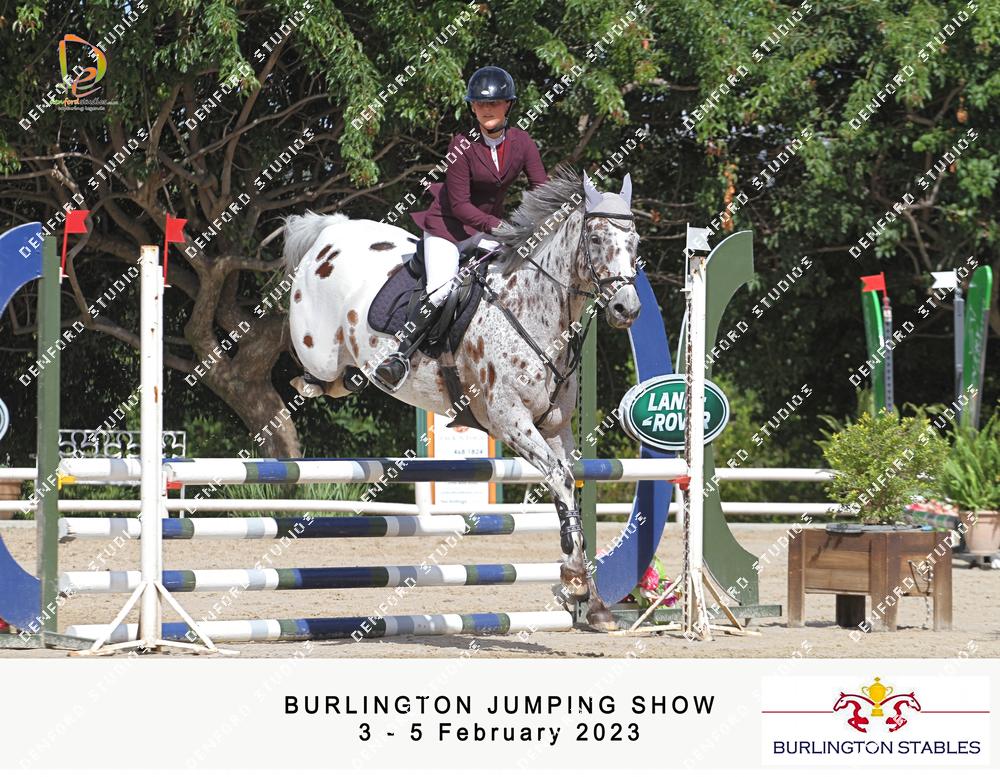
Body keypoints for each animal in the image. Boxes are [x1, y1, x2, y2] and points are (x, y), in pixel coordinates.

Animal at [281, 164, 642, 631]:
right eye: (595, 238)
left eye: (635, 243)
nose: (626, 310)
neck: (533, 307)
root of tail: (331, 233)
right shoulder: (510, 421)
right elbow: (561, 479)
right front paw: (576, 581)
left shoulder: (555, 427)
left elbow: (567, 487)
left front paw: (591, 602)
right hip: (318, 350)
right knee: (302, 370)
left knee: (340, 380)